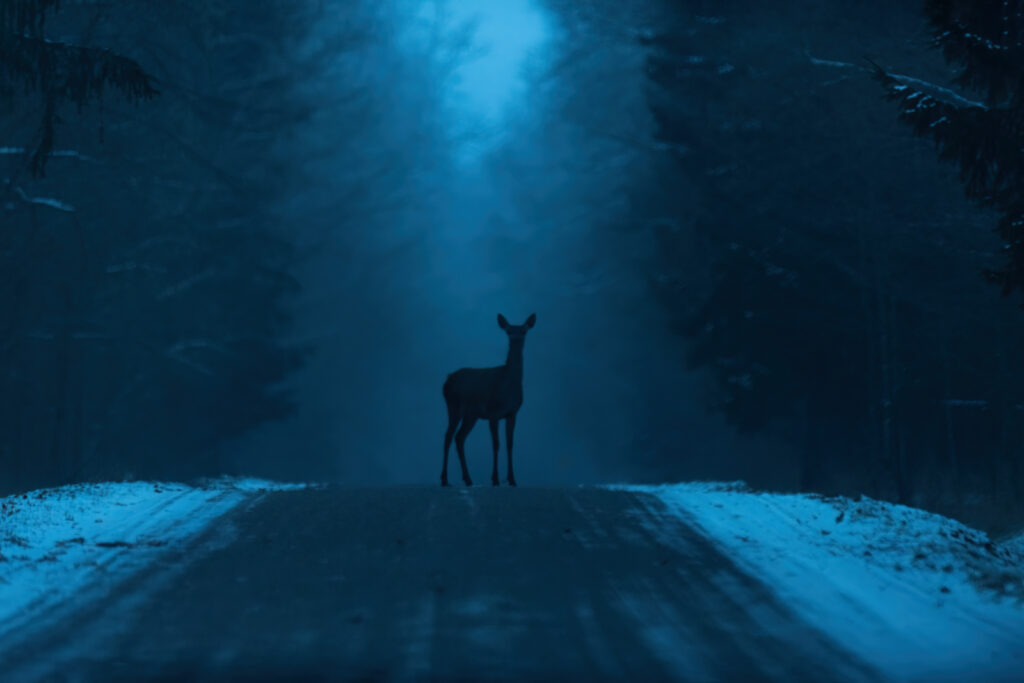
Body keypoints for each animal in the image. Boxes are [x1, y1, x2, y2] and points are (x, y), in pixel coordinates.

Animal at [442, 313, 536, 487]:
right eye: (508, 330)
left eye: (523, 330)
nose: (516, 338)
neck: (508, 387)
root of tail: (446, 380)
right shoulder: (493, 412)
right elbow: (496, 444)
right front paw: (495, 479)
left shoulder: (512, 413)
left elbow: (510, 444)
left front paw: (512, 479)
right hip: (453, 406)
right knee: (448, 436)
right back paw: (444, 479)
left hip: (471, 415)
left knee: (459, 437)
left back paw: (468, 479)